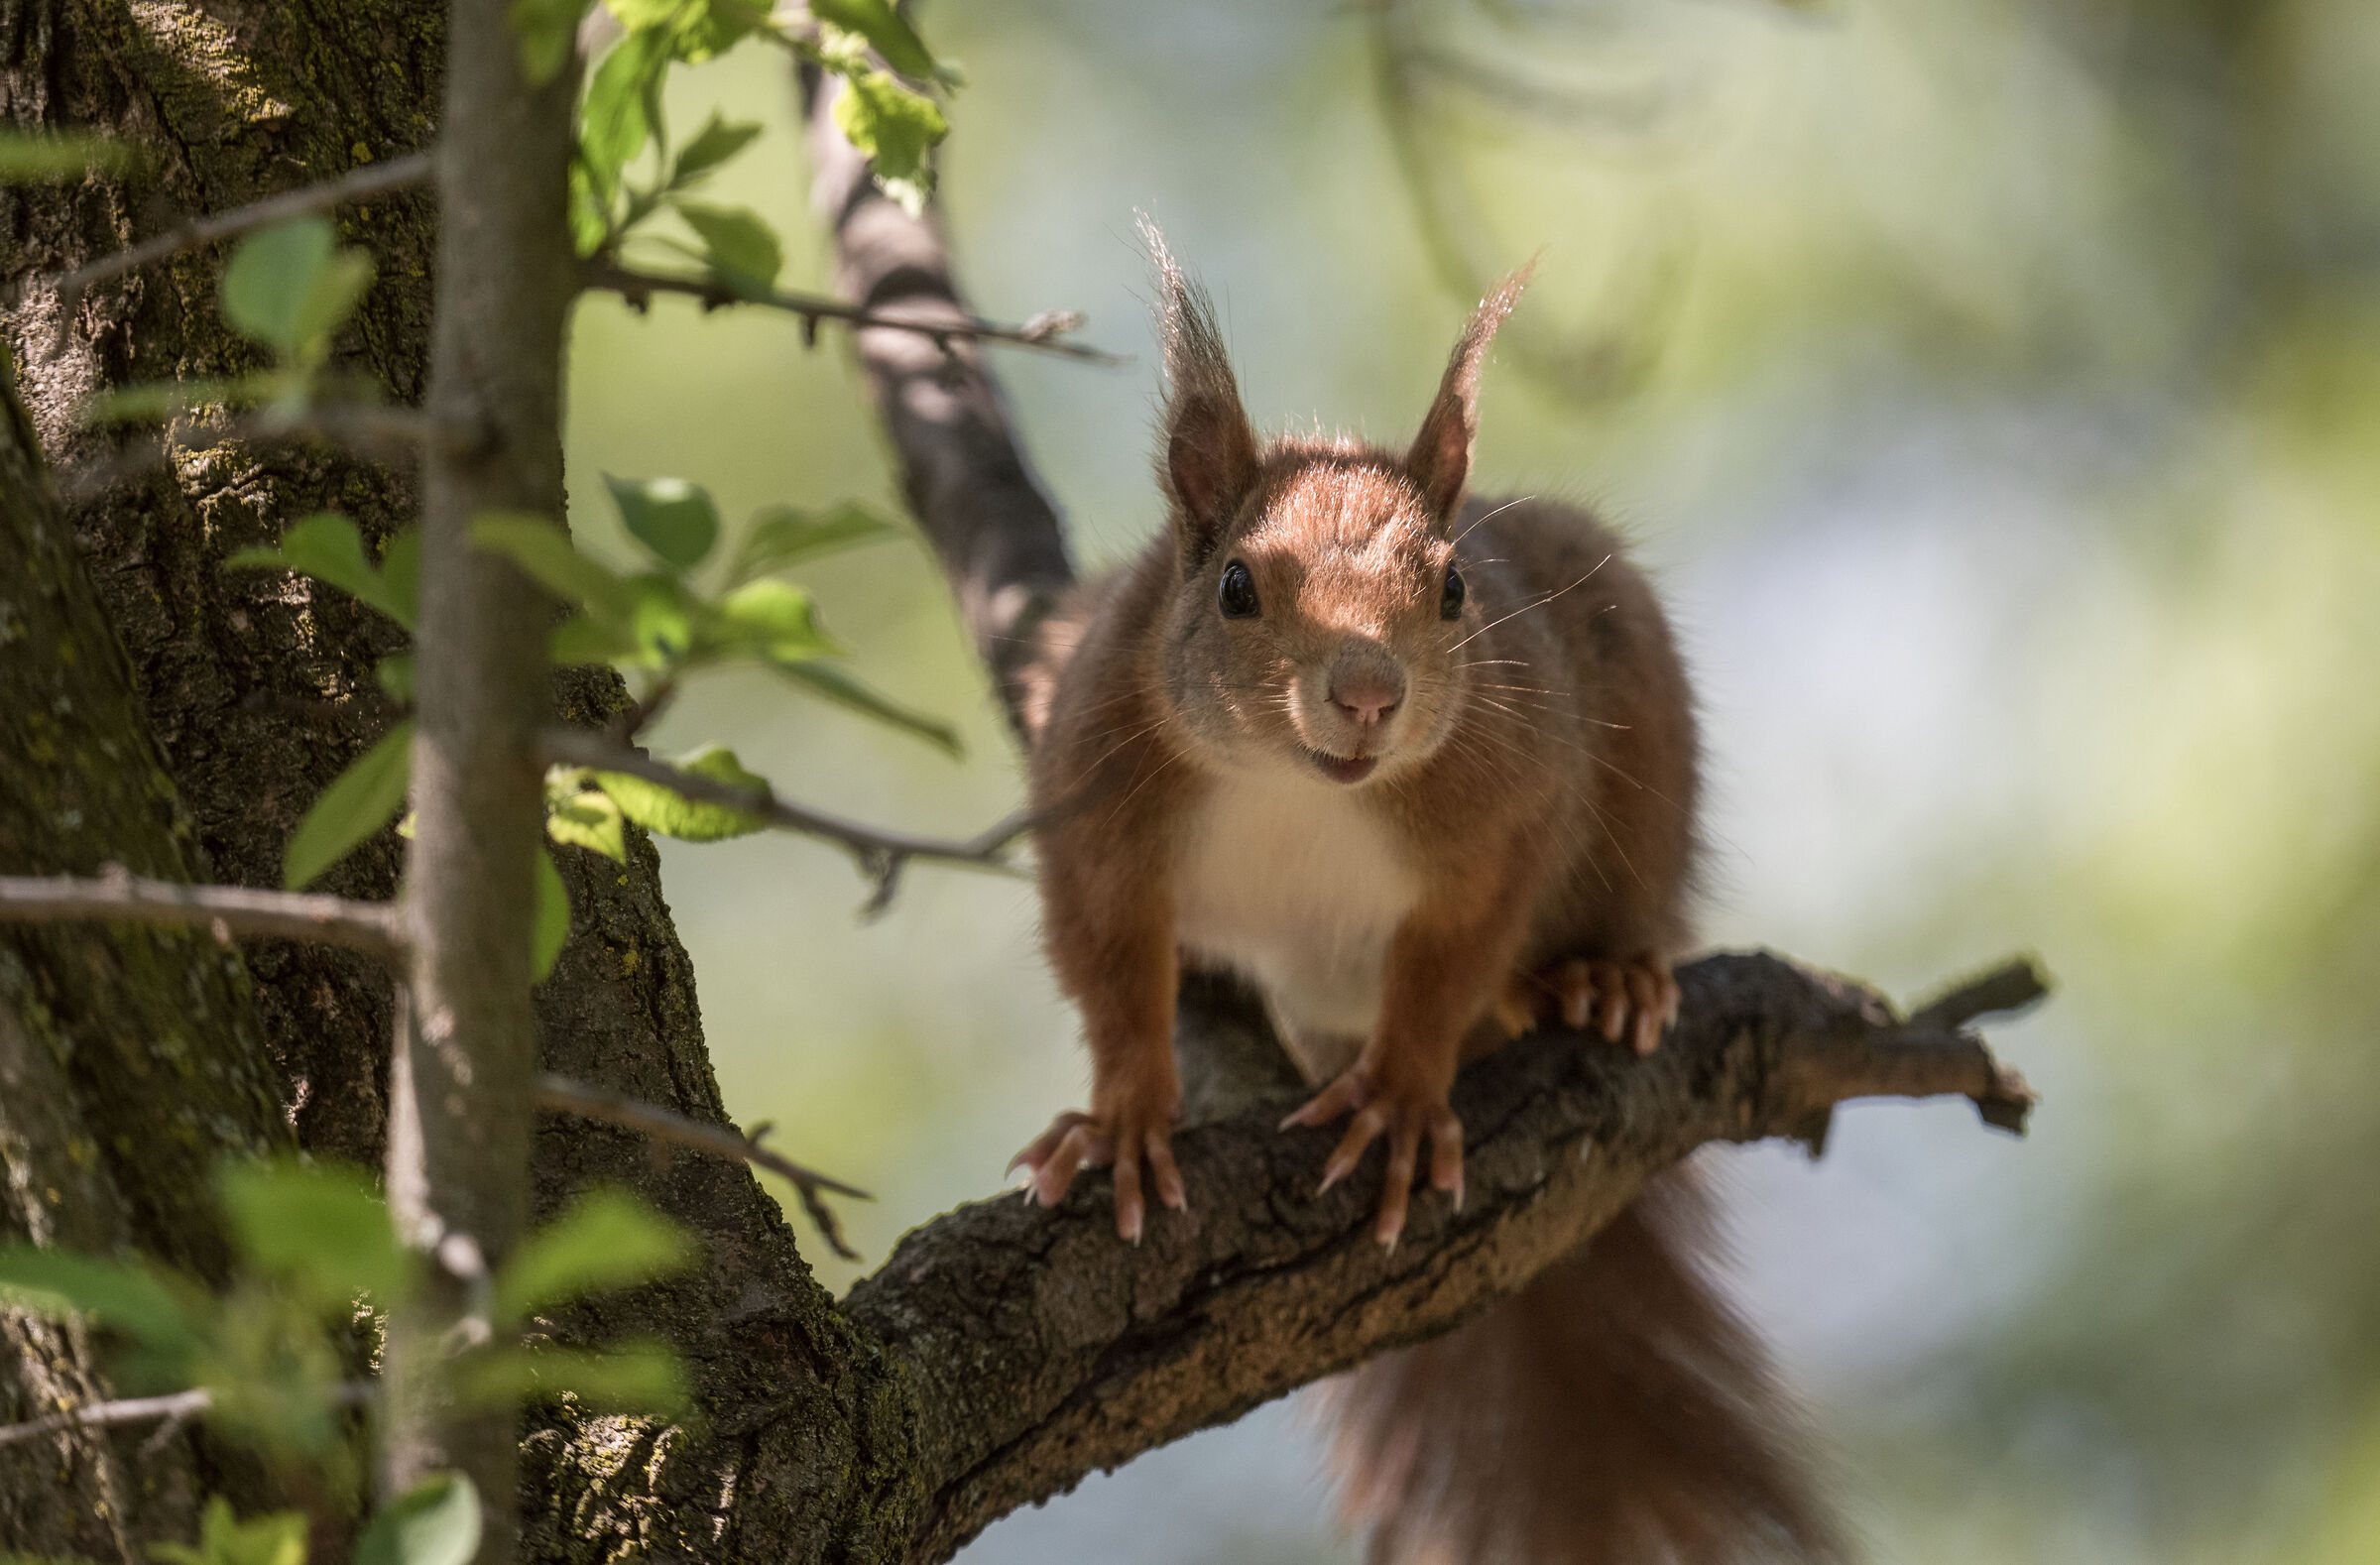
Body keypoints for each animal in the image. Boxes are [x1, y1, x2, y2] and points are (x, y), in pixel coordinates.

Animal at [1011, 222, 1840, 1565]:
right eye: (1235, 586)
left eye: (1451, 589)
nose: (1367, 696)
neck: (1294, 787)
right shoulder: (1093, 788)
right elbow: (1109, 955)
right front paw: (1125, 1119)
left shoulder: (1505, 805)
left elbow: (1453, 954)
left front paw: (1401, 1097)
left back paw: (1601, 978)